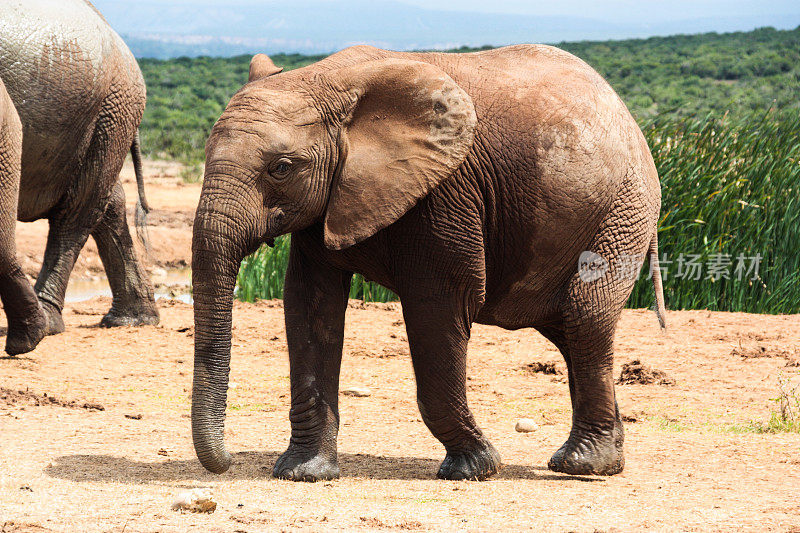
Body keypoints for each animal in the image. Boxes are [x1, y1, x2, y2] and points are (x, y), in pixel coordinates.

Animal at [191, 44, 664, 478]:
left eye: (282, 168)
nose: (227, 463)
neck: (328, 81)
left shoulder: (445, 192)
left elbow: (438, 305)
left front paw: (475, 468)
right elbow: (310, 307)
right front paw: (304, 473)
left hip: (623, 209)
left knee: (585, 316)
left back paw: (582, 465)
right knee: (568, 329)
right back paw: (603, 459)